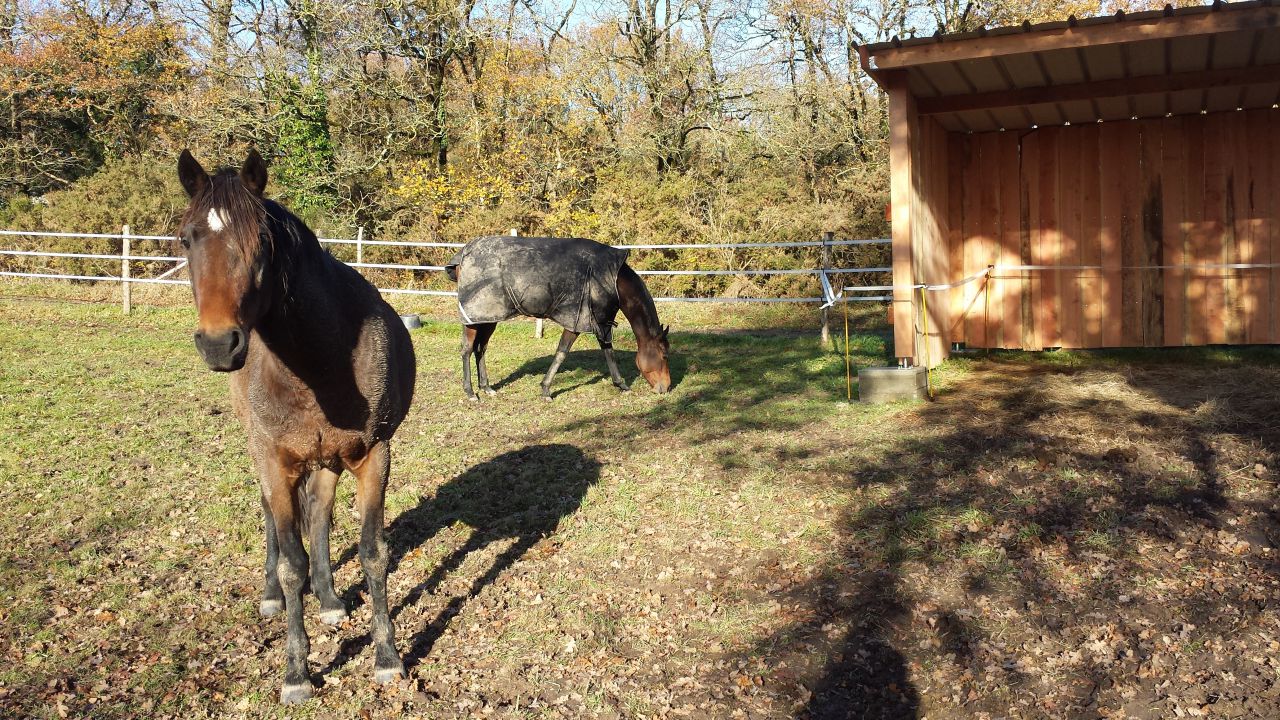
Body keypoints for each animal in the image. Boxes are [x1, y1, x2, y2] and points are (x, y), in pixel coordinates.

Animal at [176, 149, 416, 704]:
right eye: (185, 239)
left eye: (261, 243)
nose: (219, 344)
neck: (319, 361)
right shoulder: (274, 460)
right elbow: (291, 563)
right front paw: (296, 672)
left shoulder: (374, 456)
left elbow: (372, 553)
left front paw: (386, 658)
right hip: (265, 454)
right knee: (272, 517)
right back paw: (271, 597)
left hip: (326, 460)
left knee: (319, 516)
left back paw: (327, 599)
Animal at [445, 235, 671, 400]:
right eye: (664, 355)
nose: (666, 388)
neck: (612, 278)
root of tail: (463, 255)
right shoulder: (576, 321)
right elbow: (562, 353)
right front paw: (546, 390)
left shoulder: (600, 322)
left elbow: (608, 352)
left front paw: (621, 384)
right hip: (474, 319)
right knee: (467, 350)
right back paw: (470, 392)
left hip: (488, 319)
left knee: (480, 349)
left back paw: (486, 387)